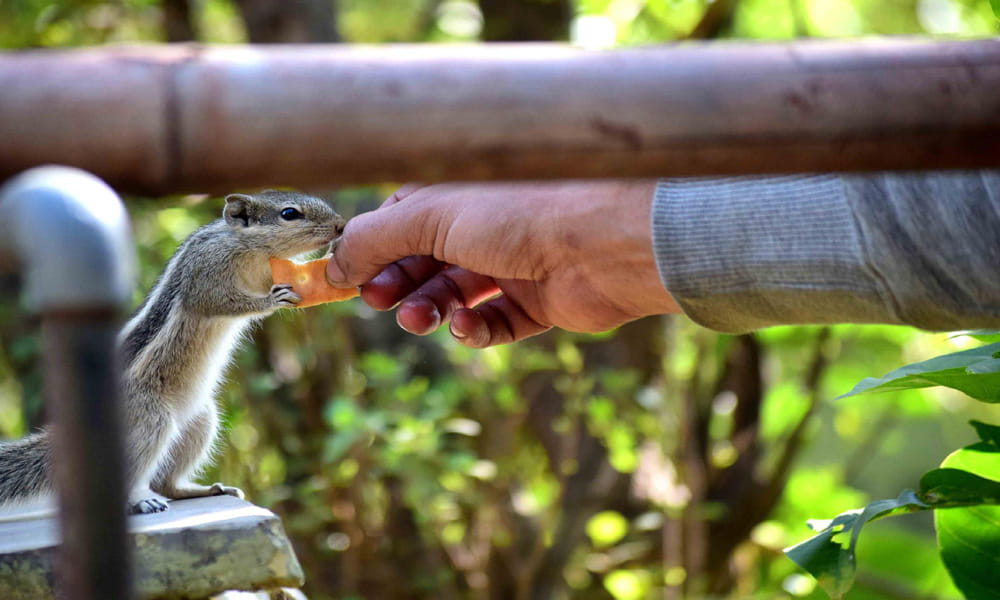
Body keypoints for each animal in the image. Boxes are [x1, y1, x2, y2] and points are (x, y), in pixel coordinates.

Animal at [0, 191, 345, 514]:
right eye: (289, 214)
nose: (341, 226)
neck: (251, 248)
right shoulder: (207, 271)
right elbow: (221, 301)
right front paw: (272, 301)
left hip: (200, 420)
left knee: (166, 482)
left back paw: (205, 490)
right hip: (149, 420)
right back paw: (141, 500)